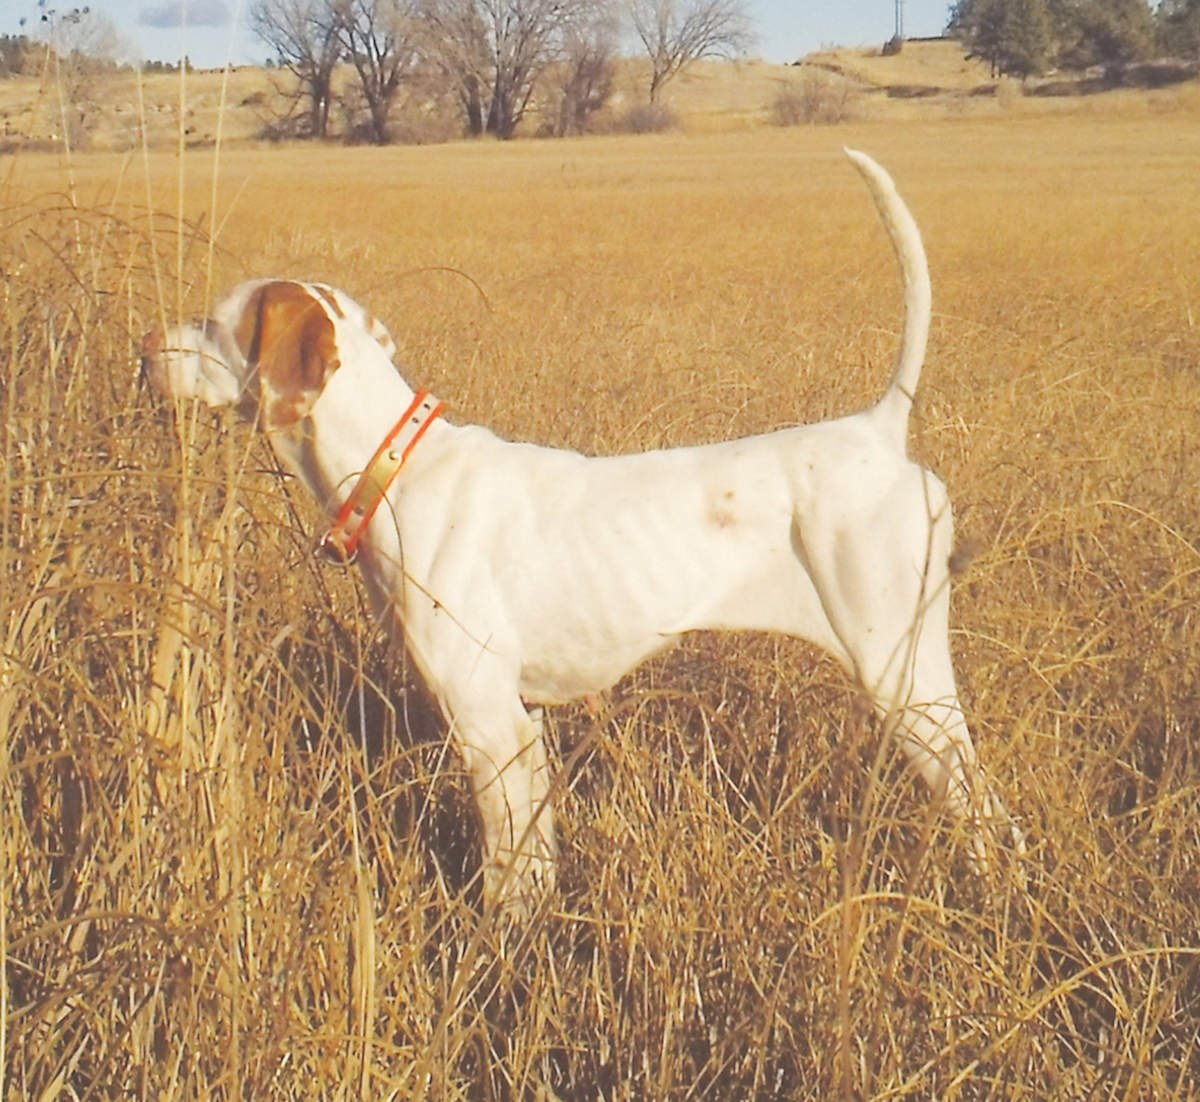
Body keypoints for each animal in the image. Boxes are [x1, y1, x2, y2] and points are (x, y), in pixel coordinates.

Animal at [145, 151, 1017, 917]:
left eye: (214, 326)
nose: (146, 346)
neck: (394, 468)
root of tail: (880, 429)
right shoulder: (522, 728)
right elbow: (534, 860)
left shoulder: (487, 723)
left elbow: (507, 879)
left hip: (906, 680)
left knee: (984, 809)